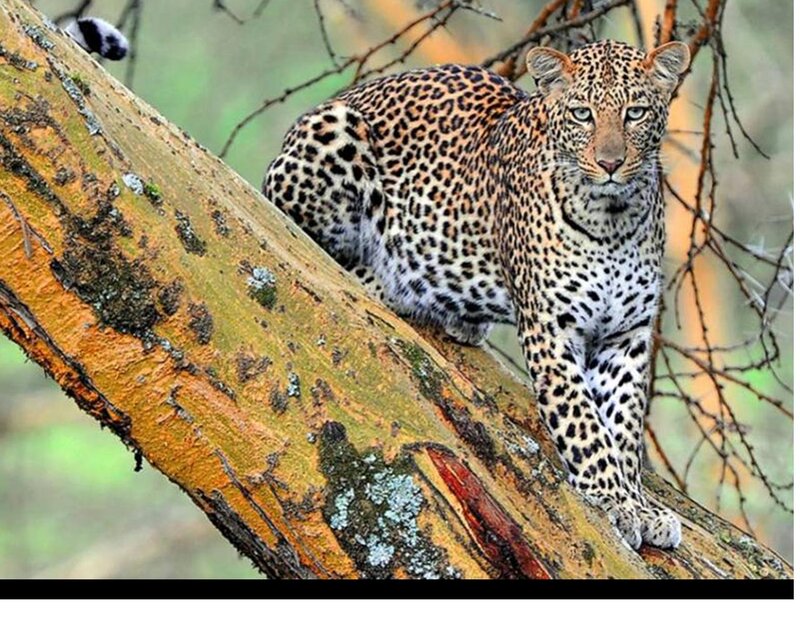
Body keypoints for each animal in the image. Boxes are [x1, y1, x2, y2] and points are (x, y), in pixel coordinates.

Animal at [262, 39, 691, 550]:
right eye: (583, 114)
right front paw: (614, 501)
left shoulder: (626, 335)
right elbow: (584, 424)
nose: (610, 164)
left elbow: (622, 427)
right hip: (332, 134)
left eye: (635, 113)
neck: (614, 217)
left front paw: (639, 504)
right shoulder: (551, 327)